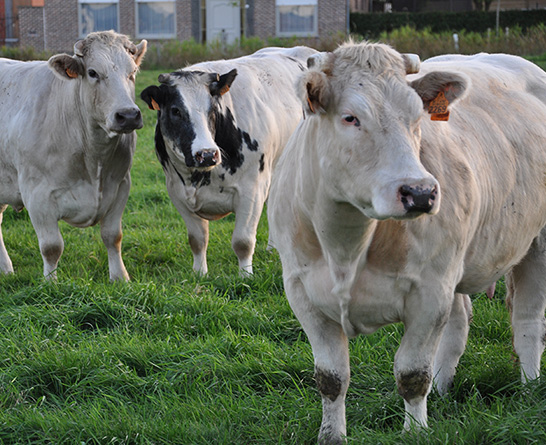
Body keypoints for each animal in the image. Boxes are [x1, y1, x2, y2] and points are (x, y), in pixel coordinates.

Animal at [0, 31, 146, 280]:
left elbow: (113, 237)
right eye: (93, 72)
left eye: (132, 72)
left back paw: (6, 269)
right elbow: (51, 247)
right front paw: (51, 282)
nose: (128, 115)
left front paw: (120, 278)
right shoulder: (37, 195)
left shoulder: (120, 186)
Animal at [140, 46, 316, 274]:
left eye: (213, 108)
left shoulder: (252, 190)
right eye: (175, 110)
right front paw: (200, 273)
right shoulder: (177, 192)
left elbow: (243, 241)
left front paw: (246, 275)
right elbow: (197, 240)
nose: (206, 154)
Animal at [268, 40, 546, 442]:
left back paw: (528, 387)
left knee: (527, 319)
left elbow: (412, 375)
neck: (345, 249)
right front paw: (331, 435)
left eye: (417, 119)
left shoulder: (430, 293)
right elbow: (331, 379)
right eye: (350, 118)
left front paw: (415, 432)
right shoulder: (302, 293)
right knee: (459, 323)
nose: (421, 193)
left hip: (535, 244)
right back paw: (444, 389)